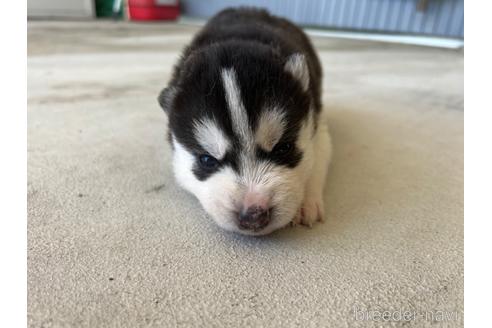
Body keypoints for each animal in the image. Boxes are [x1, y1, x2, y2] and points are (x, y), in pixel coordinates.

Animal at [160, 8, 332, 236]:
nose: (253, 215)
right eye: (207, 160)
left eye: (283, 148)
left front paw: (305, 204)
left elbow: (317, 160)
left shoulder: (317, 124)